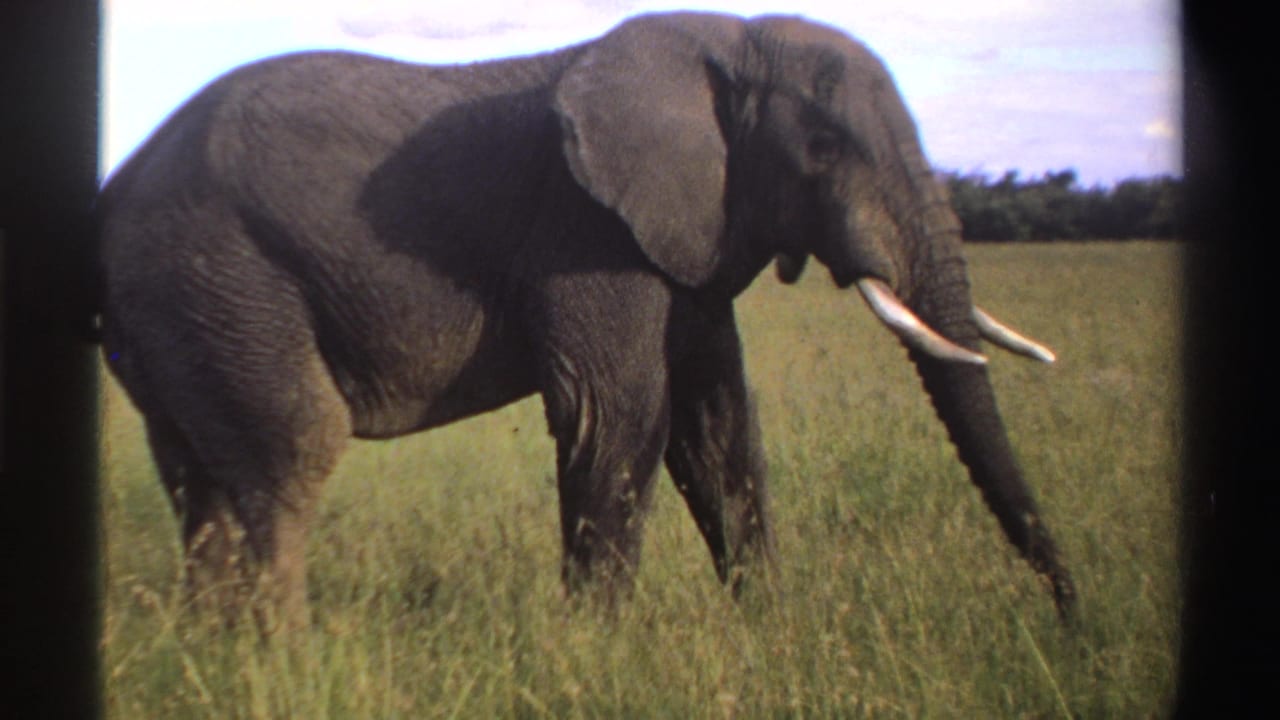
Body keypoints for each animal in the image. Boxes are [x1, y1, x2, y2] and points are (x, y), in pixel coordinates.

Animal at [93, 11, 1076, 631]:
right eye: (824, 148)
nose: (1072, 621)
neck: (726, 39)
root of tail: (117, 185)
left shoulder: (683, 241)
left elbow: (719, 427)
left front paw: (771, 630)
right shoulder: (585, 230)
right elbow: (619, 414)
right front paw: (604, 653)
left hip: (181, 310)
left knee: (199, 480)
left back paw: (217, 652)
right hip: (218, 274)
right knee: (291, 451)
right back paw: (287, 661)